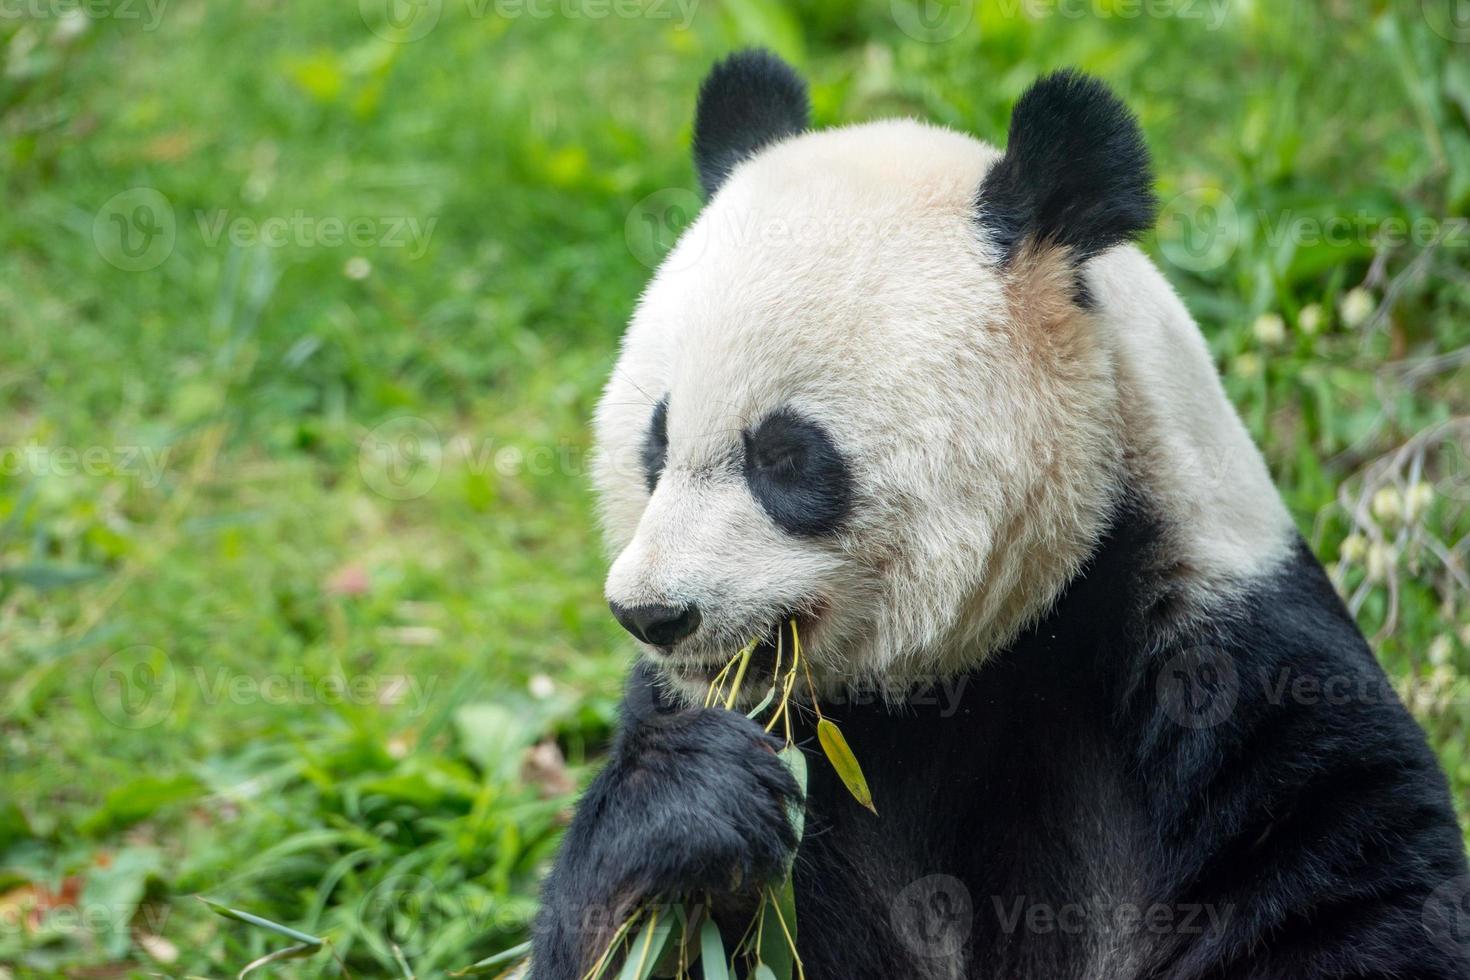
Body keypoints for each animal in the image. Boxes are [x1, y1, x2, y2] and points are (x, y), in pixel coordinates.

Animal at [535, 49, 1470, 975]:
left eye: (787, 457)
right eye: (656, 442)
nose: (653, 614)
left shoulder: (1231, 662)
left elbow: (1349, 897)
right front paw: (691, 806)